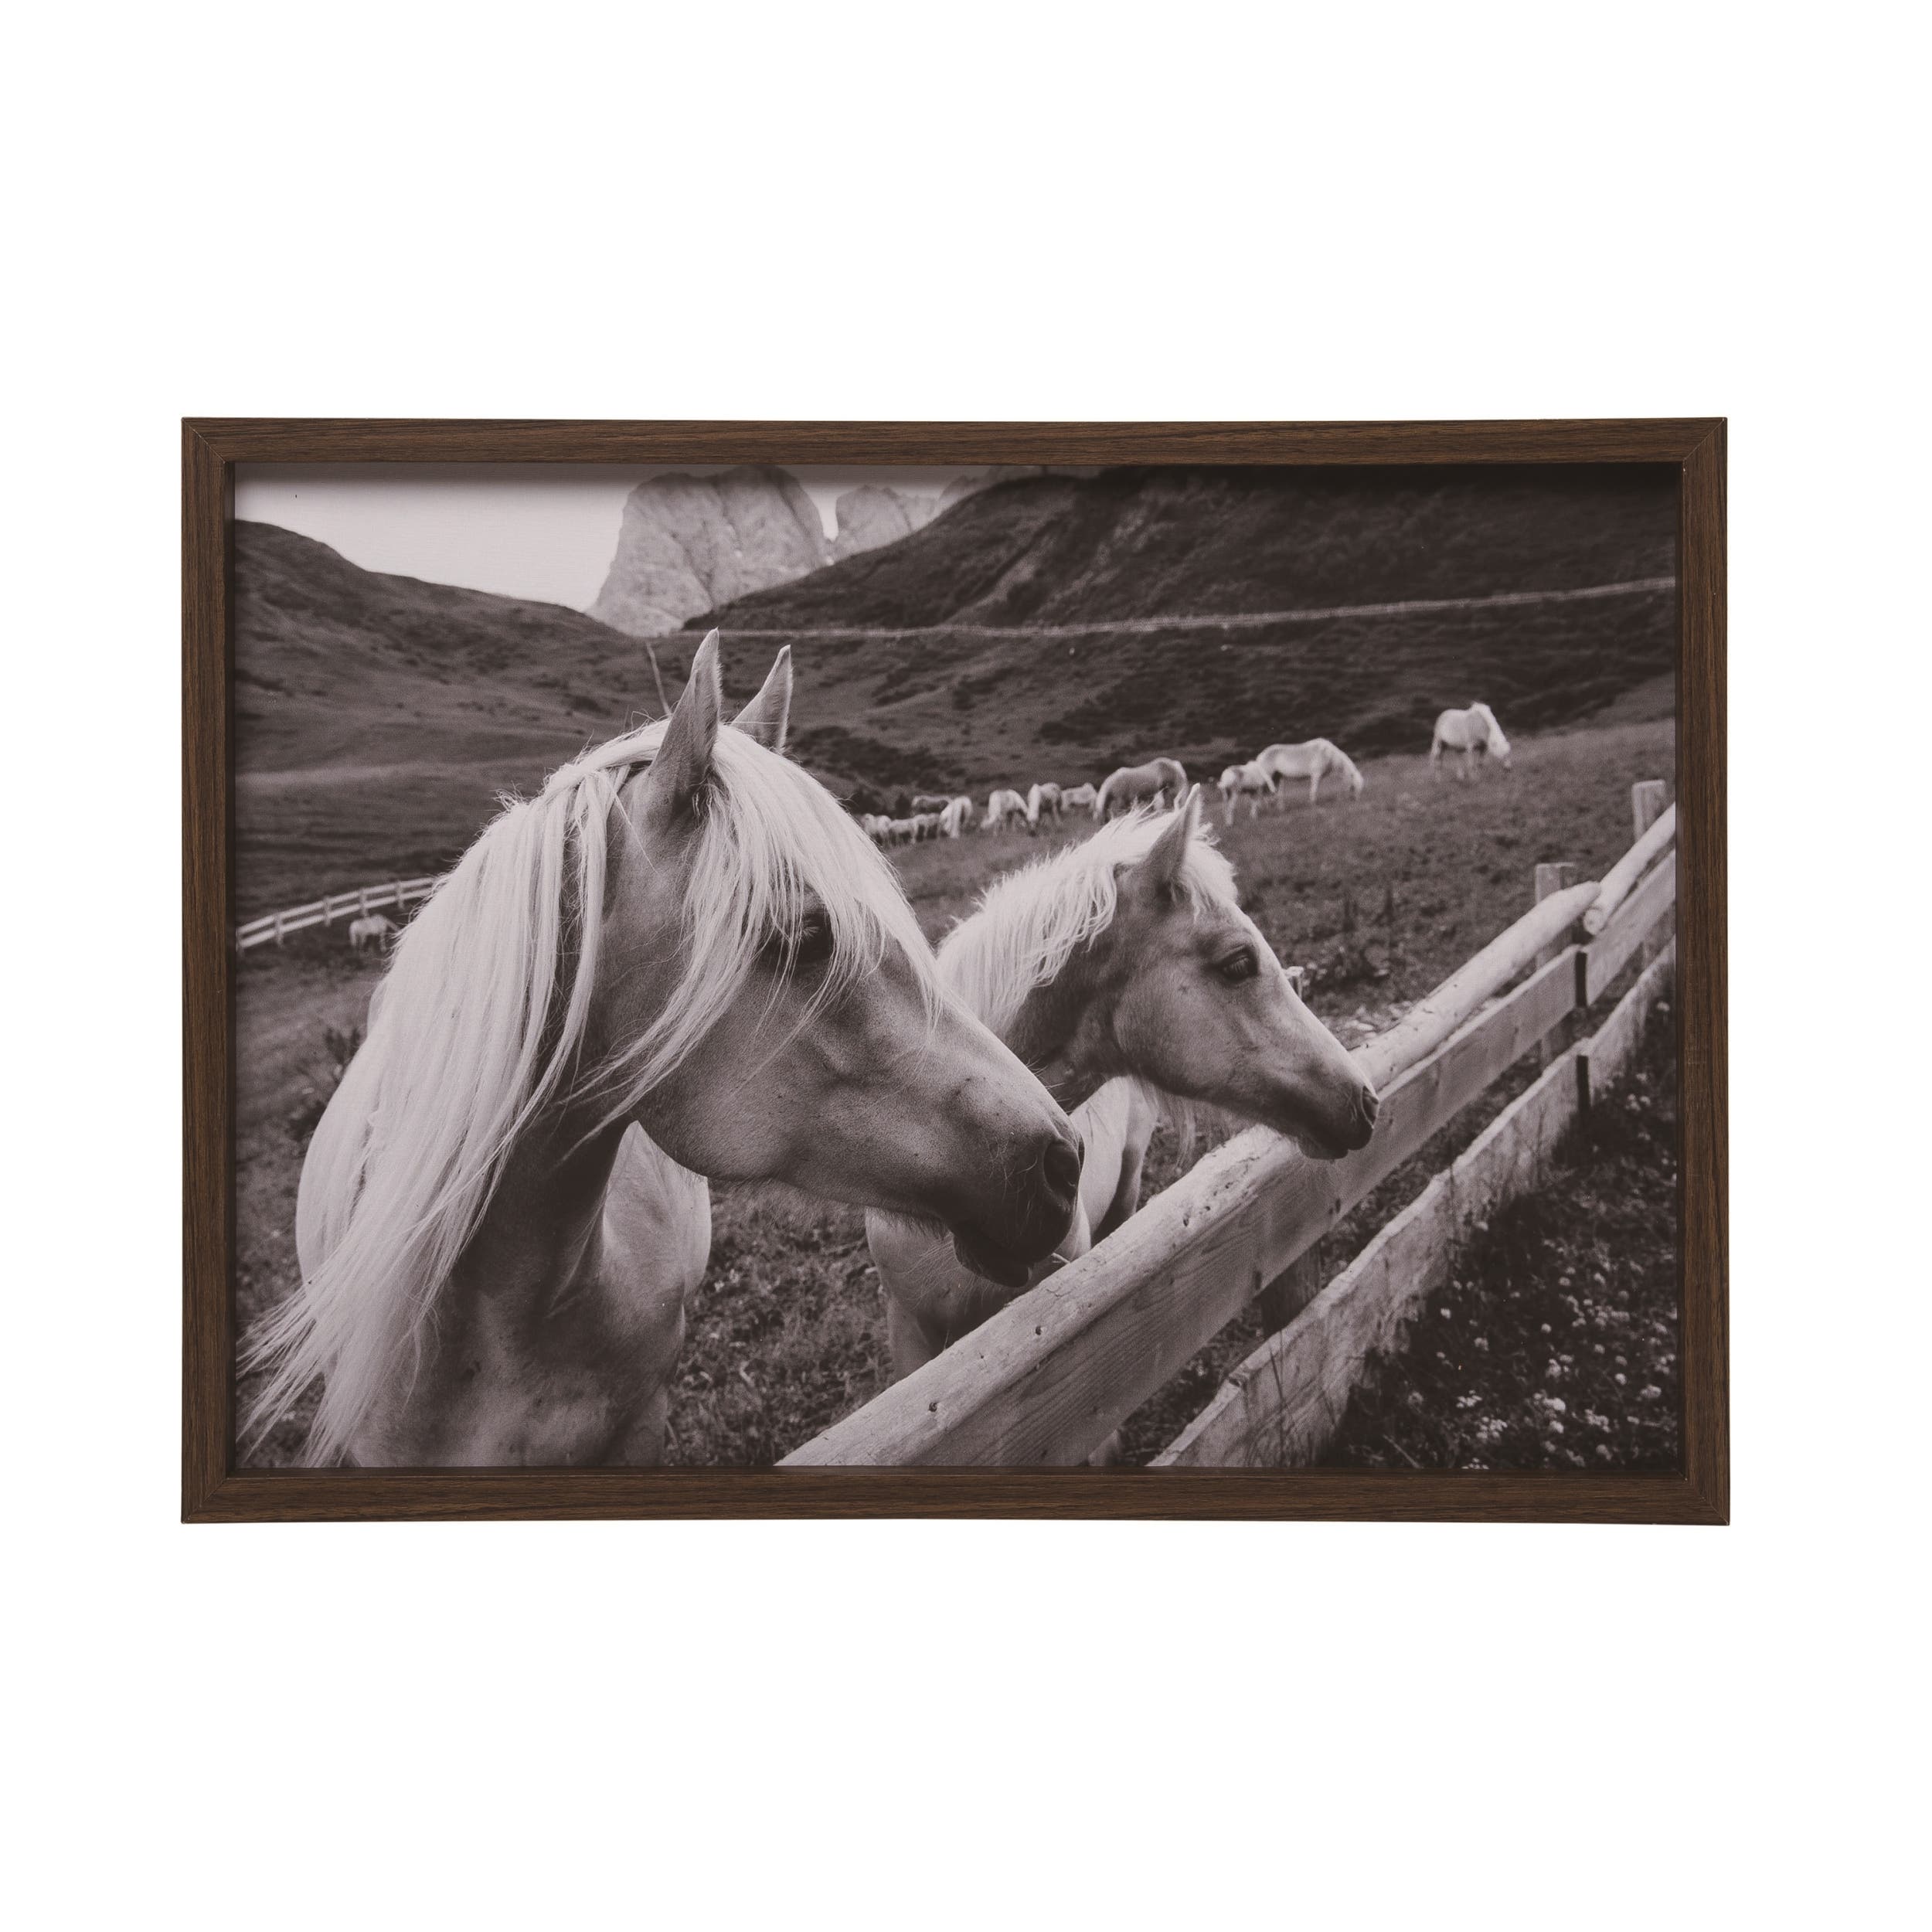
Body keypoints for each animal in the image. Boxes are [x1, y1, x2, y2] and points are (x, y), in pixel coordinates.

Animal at [1256, 738, 1365, 805]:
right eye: (1354, 786)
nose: (1358, 801)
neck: (1329, 754)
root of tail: (1260, 756)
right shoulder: (1316, 775)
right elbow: (1314, 790)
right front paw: (1313, 804)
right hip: (1266, 778)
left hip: (1277, 778)